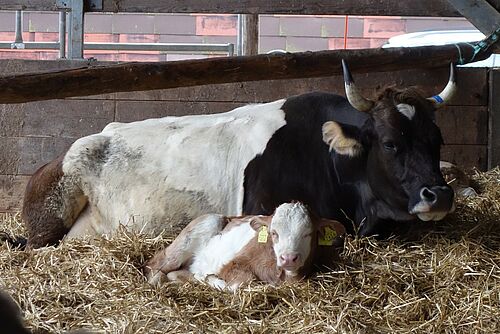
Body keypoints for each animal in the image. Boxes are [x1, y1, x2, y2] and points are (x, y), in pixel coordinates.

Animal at [145, 201, 346, 290]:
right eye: (274, 233)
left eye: (308, 233)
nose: (288, 258)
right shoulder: (234, 264)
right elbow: (240, 283)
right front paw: (212, 280)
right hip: (202, 228)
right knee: (154, 267)